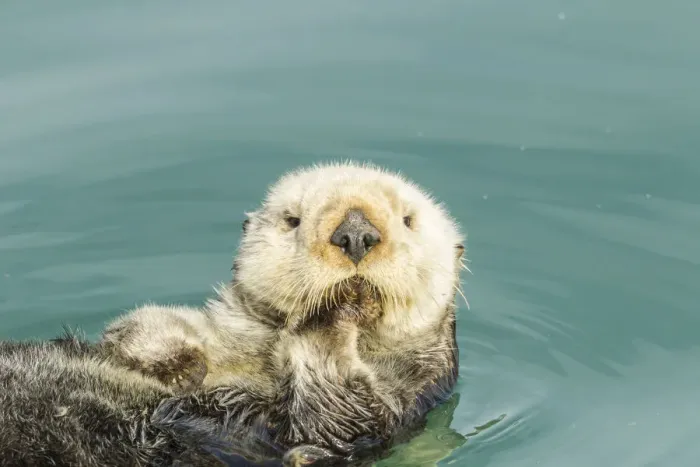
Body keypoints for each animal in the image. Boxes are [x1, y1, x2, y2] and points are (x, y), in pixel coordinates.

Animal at [0, 161, 467, 466]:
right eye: (292, 220)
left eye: (408, 220)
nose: (355, 233)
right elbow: (143, 328)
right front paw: (178, 363)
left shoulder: (396, 403)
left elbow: (336, 413)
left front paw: (332, 314)